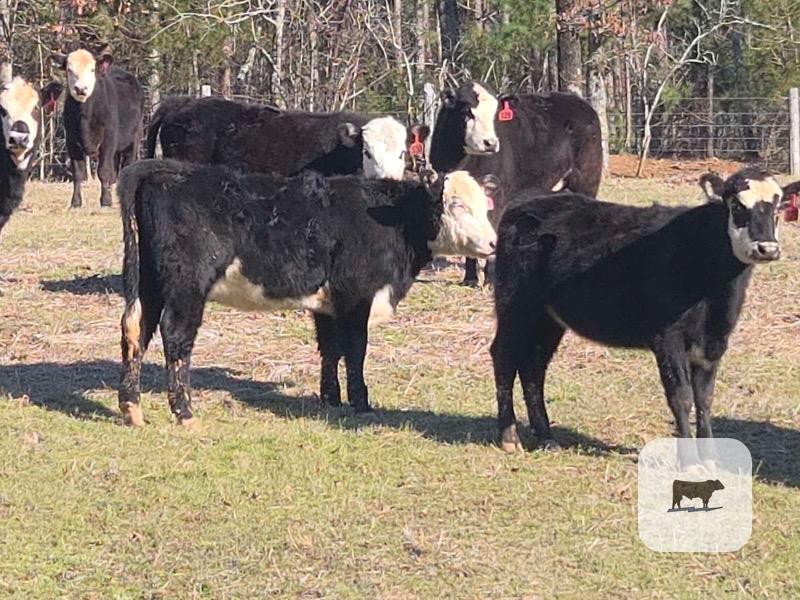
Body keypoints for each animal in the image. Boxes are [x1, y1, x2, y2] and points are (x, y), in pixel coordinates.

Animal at [50, 48, 144, 207]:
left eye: (92, 69)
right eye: (69, 69)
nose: (80, 89)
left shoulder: (108, 139)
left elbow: (104, 170)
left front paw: (105, 201)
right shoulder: (71, 142)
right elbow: (78, 173)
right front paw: (76, 202)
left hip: (134, 138)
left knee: (126, 164)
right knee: (115, 170)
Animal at [116, 159, 498, 428]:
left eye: (485, 205)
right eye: (457, 205)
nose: (494, 243)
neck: (388, 220)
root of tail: (162, 170)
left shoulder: (328, 304)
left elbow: (330, 350)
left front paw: (330, 398)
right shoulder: (357, 297)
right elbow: (355, 350)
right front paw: (361, 403)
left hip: (148, 283)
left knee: (135, 329)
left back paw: (132, 408)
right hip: (187, 287)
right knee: (176, 337)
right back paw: (184, 412)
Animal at [429, 81, 603, 285]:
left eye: (496, 114)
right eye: (466, 110)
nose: (490, 143)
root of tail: (580, 104)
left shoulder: (497, 194)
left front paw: (489, 280)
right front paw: (470, 278)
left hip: (587, 181)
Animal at [490, 168, 789, 452]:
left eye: (778, 208)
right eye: (737, 205)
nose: (767, 248)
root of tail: (527, 202)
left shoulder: (713, 343)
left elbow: (705, 398)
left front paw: (710, 457)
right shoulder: (667, 337)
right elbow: (681, 397)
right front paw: (689, 460)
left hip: (547, 318)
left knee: (534, 365)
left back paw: (546, 437)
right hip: (515, 305)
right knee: (503, 356)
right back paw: (509, 436)